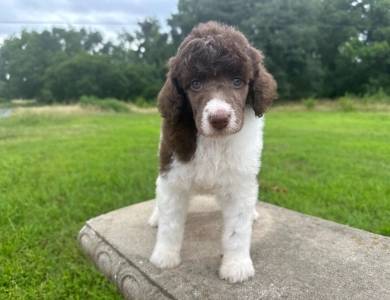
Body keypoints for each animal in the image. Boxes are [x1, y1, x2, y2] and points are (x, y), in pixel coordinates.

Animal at [147, 21, 278, 284]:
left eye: (237, 81)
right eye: (196, 84)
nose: (219, 119)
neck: (214, 142)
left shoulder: (240, 182)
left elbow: (238, 229)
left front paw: (237, 266)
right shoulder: (172, 175)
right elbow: (170, 222)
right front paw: (165, 256)